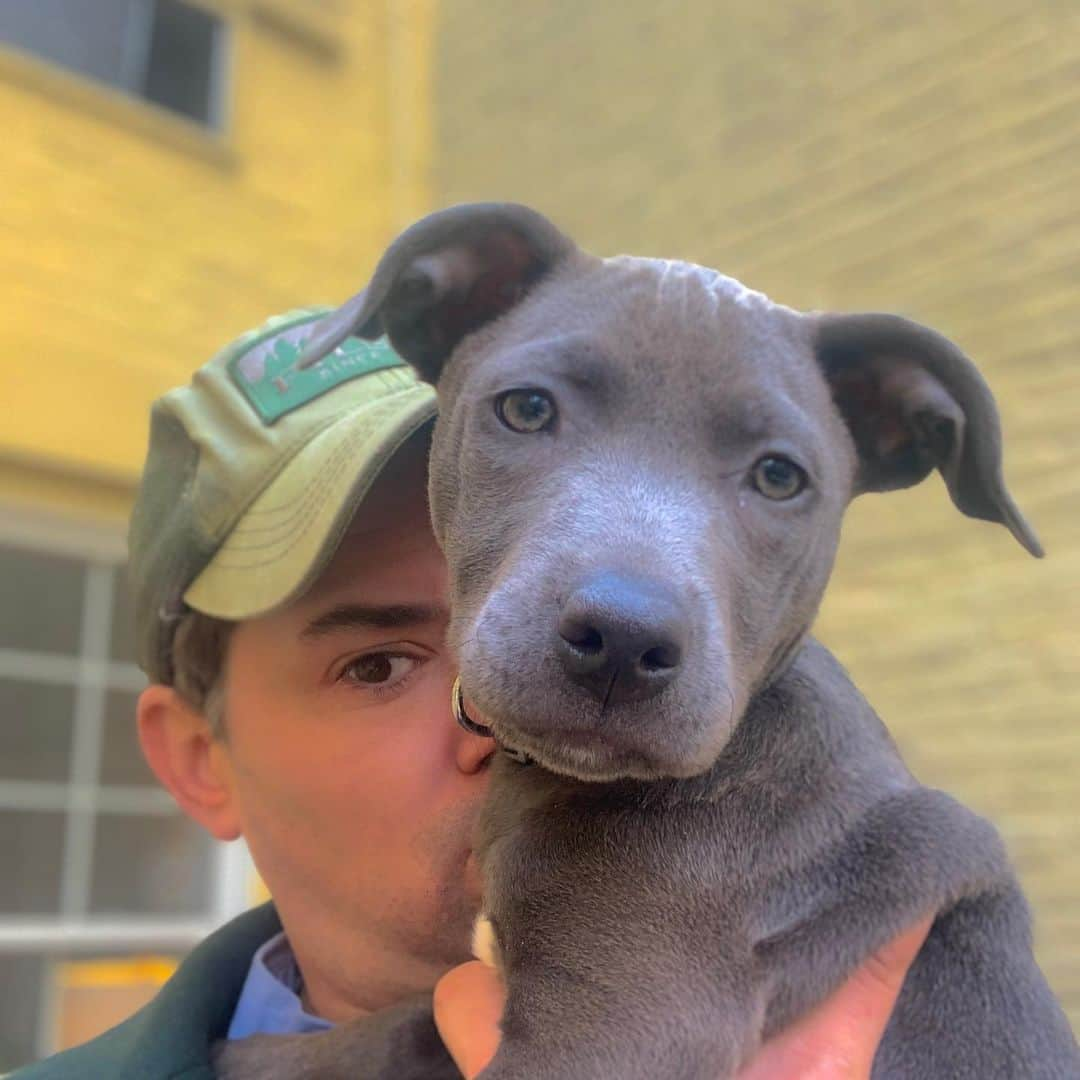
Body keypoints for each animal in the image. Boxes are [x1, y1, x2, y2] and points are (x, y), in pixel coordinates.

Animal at [212, 204, 1080, 1080]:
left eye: (779, 477)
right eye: (527, 409)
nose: (623, 642)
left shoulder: (630, 1023)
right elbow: (405, 1020)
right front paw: (269, 1049)